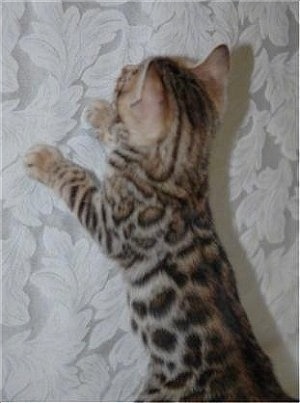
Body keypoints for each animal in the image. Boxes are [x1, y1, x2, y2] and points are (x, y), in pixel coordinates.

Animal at [25, 45, 292, 402]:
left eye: (127, 77)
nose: (125, 66)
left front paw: (46, 160)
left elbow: (77, 181)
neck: (184, 179)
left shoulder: (111, 224)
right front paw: (104, 116)